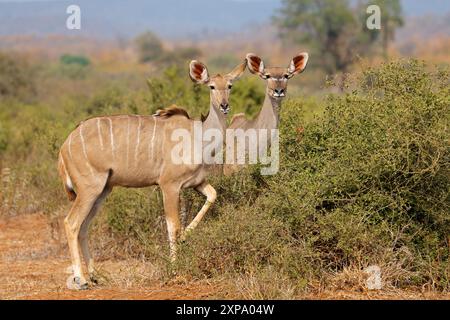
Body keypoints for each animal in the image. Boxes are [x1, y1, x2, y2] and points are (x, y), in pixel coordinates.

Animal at [58, 60, 246, 290]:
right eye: (211, 86)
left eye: (230, 86)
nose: (224, 105)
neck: (198, 135)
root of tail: (65, 145)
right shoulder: (169, 185)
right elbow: (173, 227)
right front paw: (174, 270)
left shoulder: (197, 182)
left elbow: (212, 195)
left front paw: (186, 236)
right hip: (89, 189)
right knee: (71, 223)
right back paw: (81, 279)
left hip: (102, 191)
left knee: (84, 227)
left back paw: (95, 276)